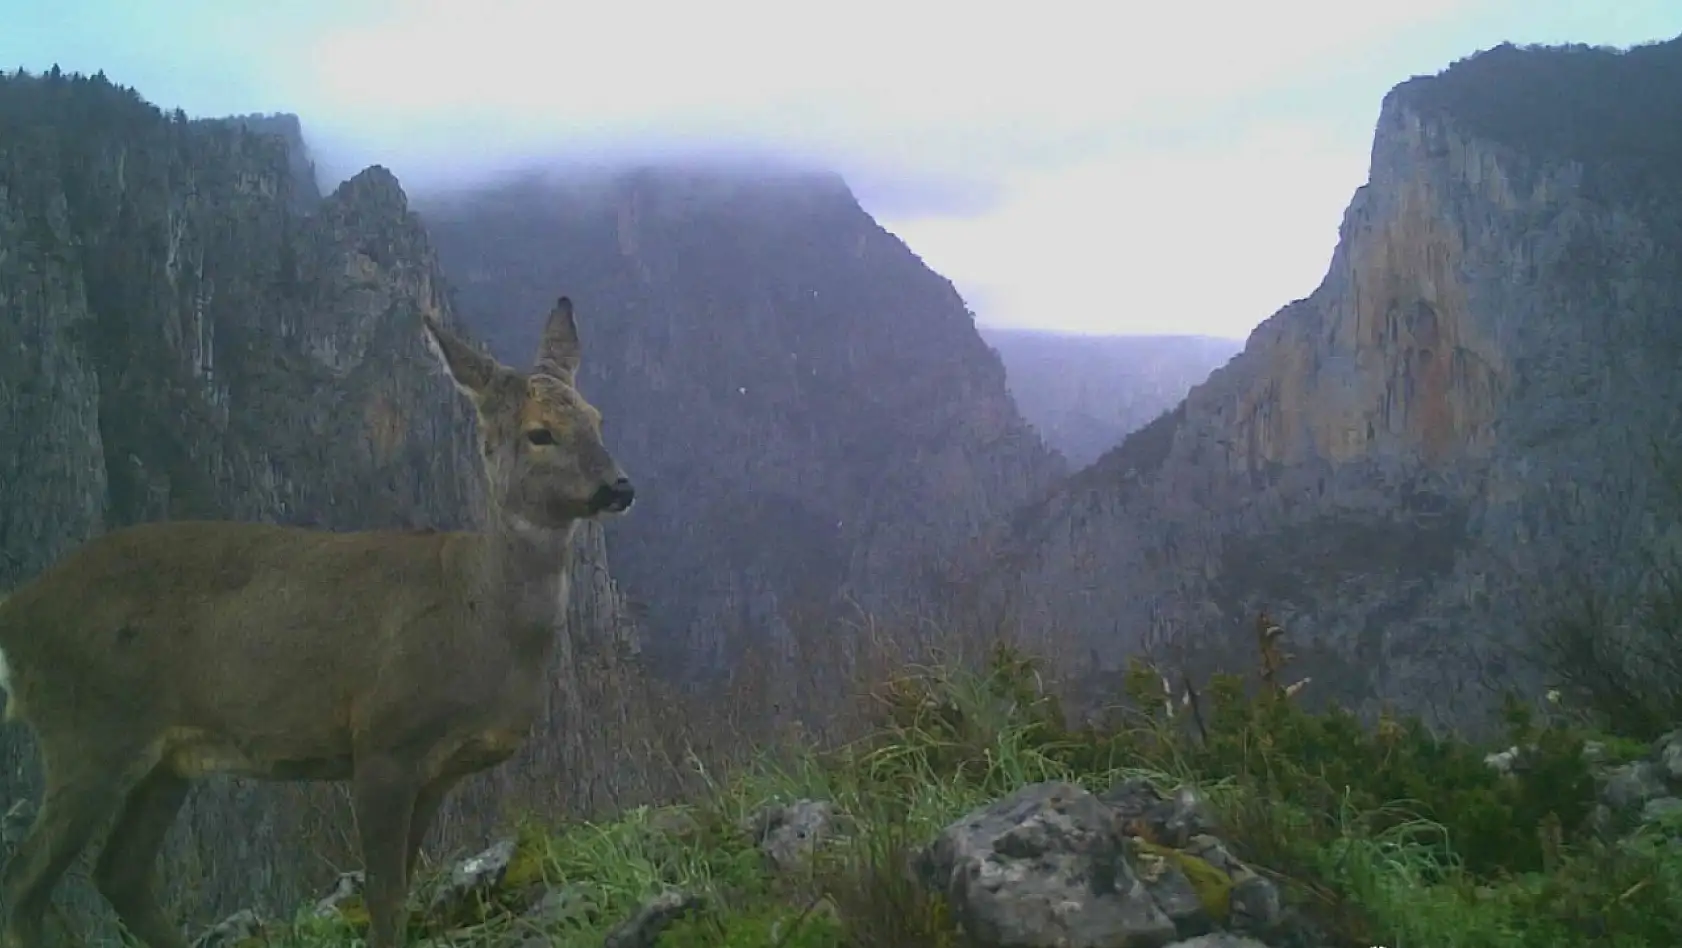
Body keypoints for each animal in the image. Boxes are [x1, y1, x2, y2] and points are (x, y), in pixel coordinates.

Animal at [0, 292, 635, 941]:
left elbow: (403, 884)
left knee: (119, 872)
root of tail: (16, 611)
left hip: (166, 758)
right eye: (540, 432)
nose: (619, 487)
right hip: (89, 729)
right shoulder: (382, 739)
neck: (478, 615)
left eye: (597, 419)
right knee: (25, 881)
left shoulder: (439, 771)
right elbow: (383, 894)